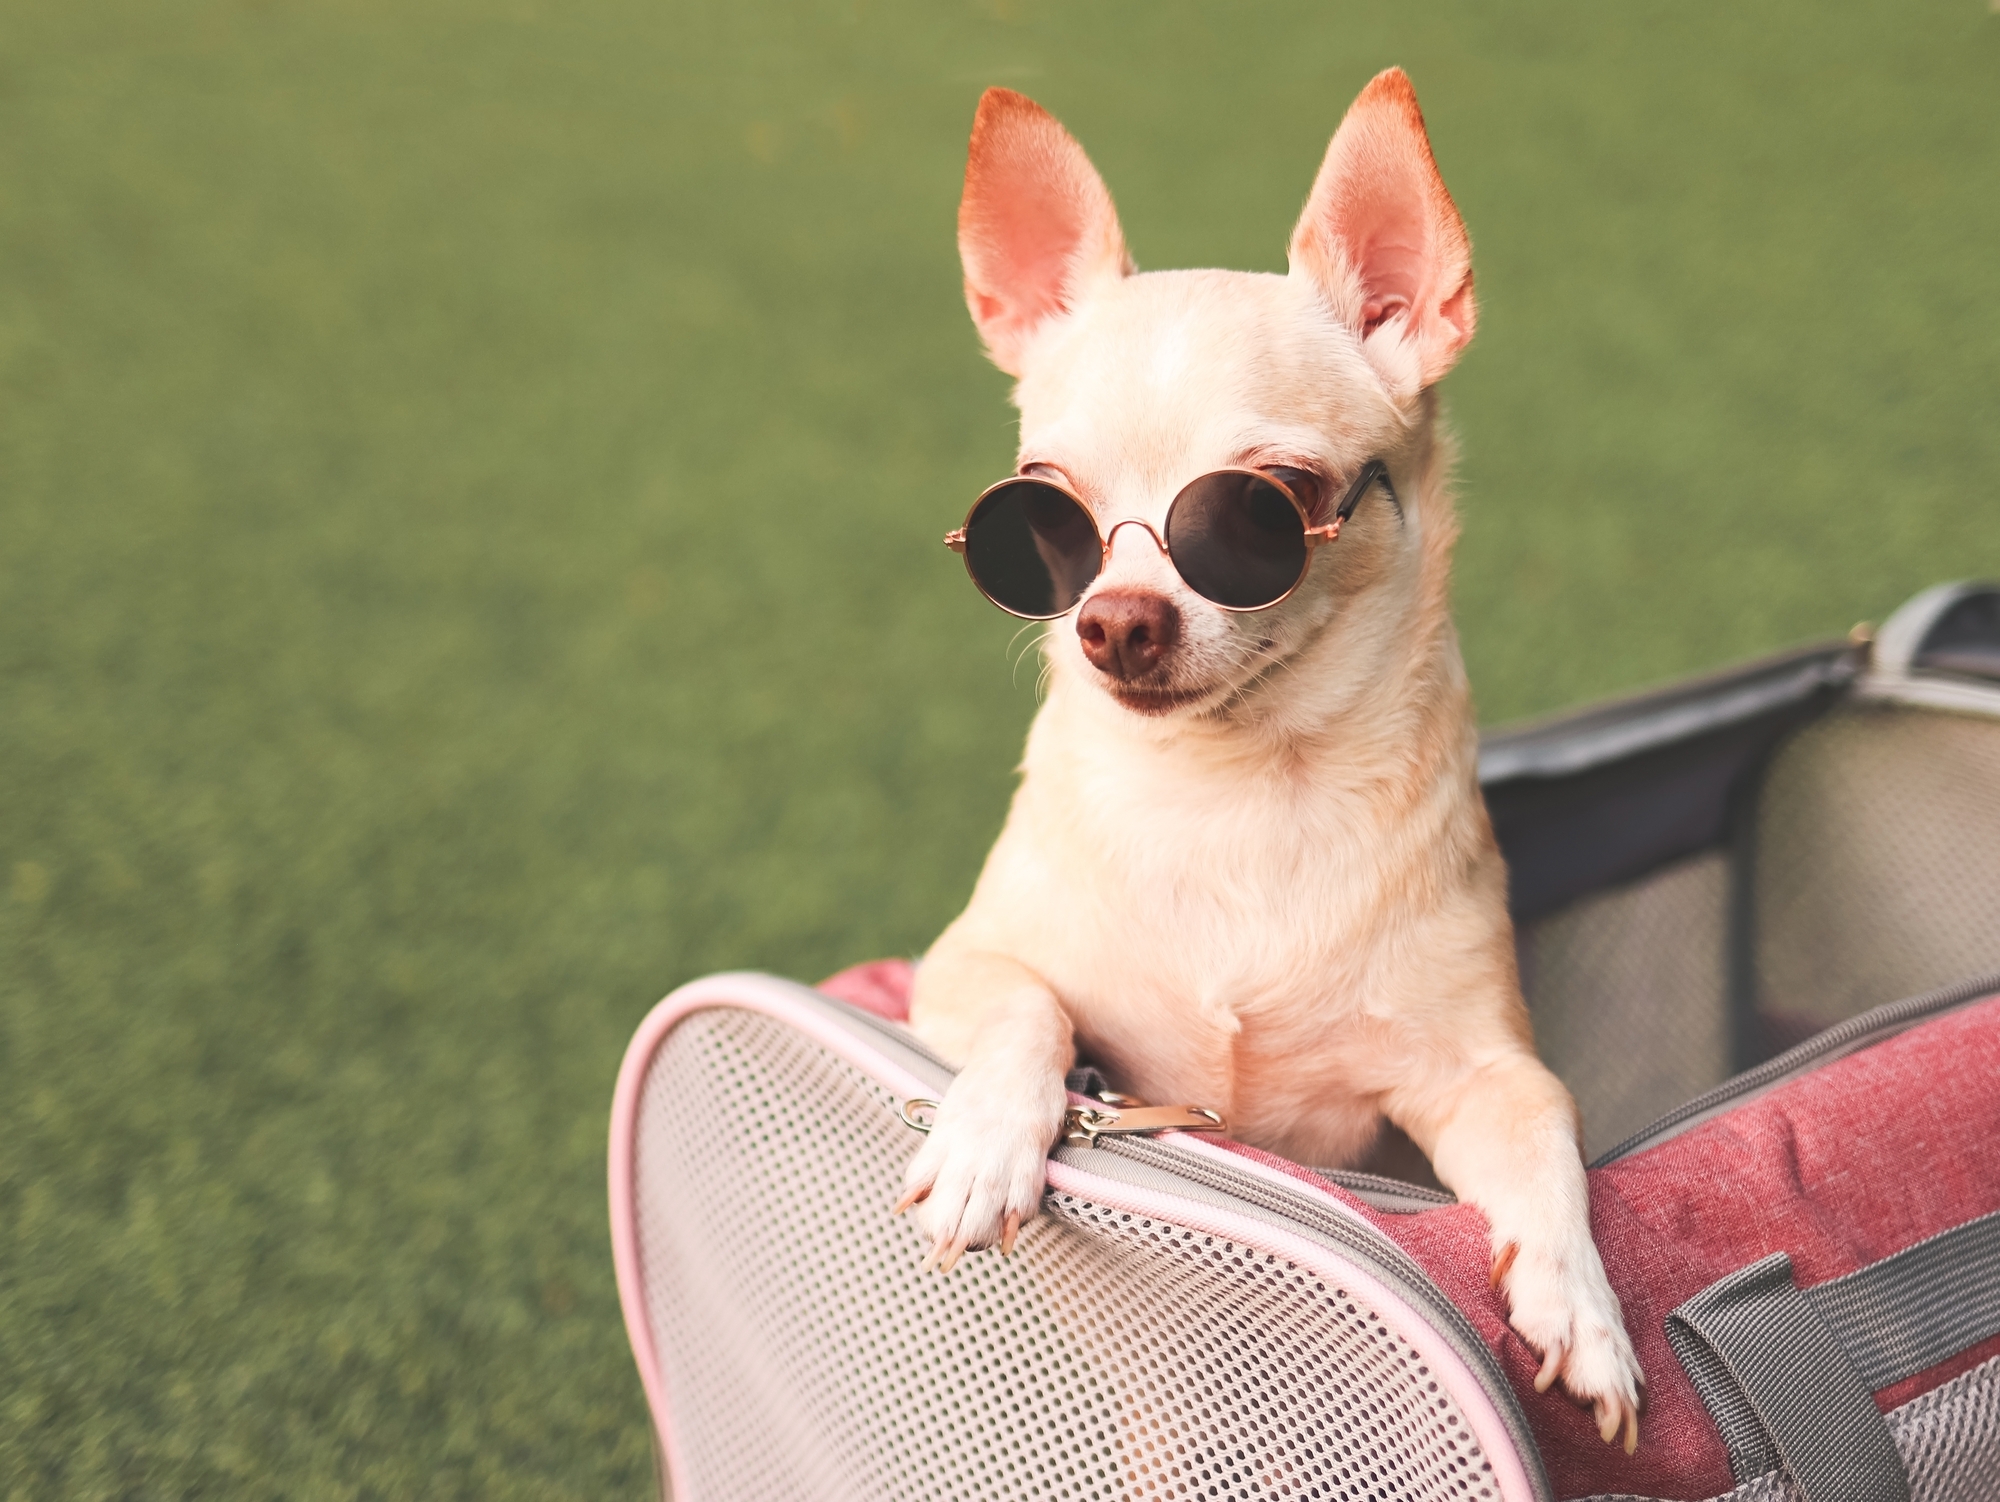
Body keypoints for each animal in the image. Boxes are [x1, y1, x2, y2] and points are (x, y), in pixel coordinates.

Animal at [904, 73, 1640, 1456]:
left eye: (1266, 502)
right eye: (1038, 510)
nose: (1114, 618)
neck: (1234, 787)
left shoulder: (1483, 1074)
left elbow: (1544, 1136)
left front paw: (1581, 1309)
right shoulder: (955, 965)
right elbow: (1029, 1008)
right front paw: (981, 1143)